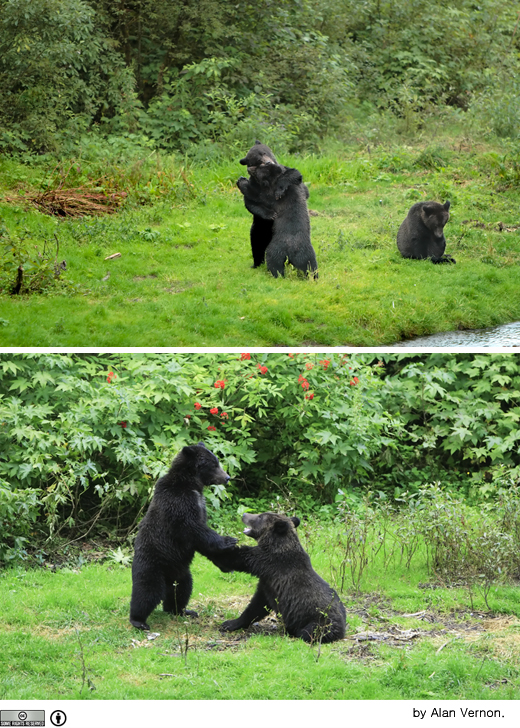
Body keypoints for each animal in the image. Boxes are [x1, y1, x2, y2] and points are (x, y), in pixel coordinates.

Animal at [129, 440, 237, 628]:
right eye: (214, 464)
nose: (227, 477)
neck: (192, 485)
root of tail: (168, 576)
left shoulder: (199, 504)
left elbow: (200, 540)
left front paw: (226, 566)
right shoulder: (178, 503)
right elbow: (194, 528)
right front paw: (229, 540)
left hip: (181, 570)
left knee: (182, 589)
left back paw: (181, 610)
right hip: (151, 564)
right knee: (147, 591)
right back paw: (138, 620)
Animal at [213, 512, 348, 644]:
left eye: (260, 516)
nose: (244, 514)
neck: (276, 544)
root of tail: (343, 630)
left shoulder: (267, 562)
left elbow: (237, 557)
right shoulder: (268, 583)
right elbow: (257, 605)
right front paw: (231, 623)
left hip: (321, 621)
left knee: (310, 632)